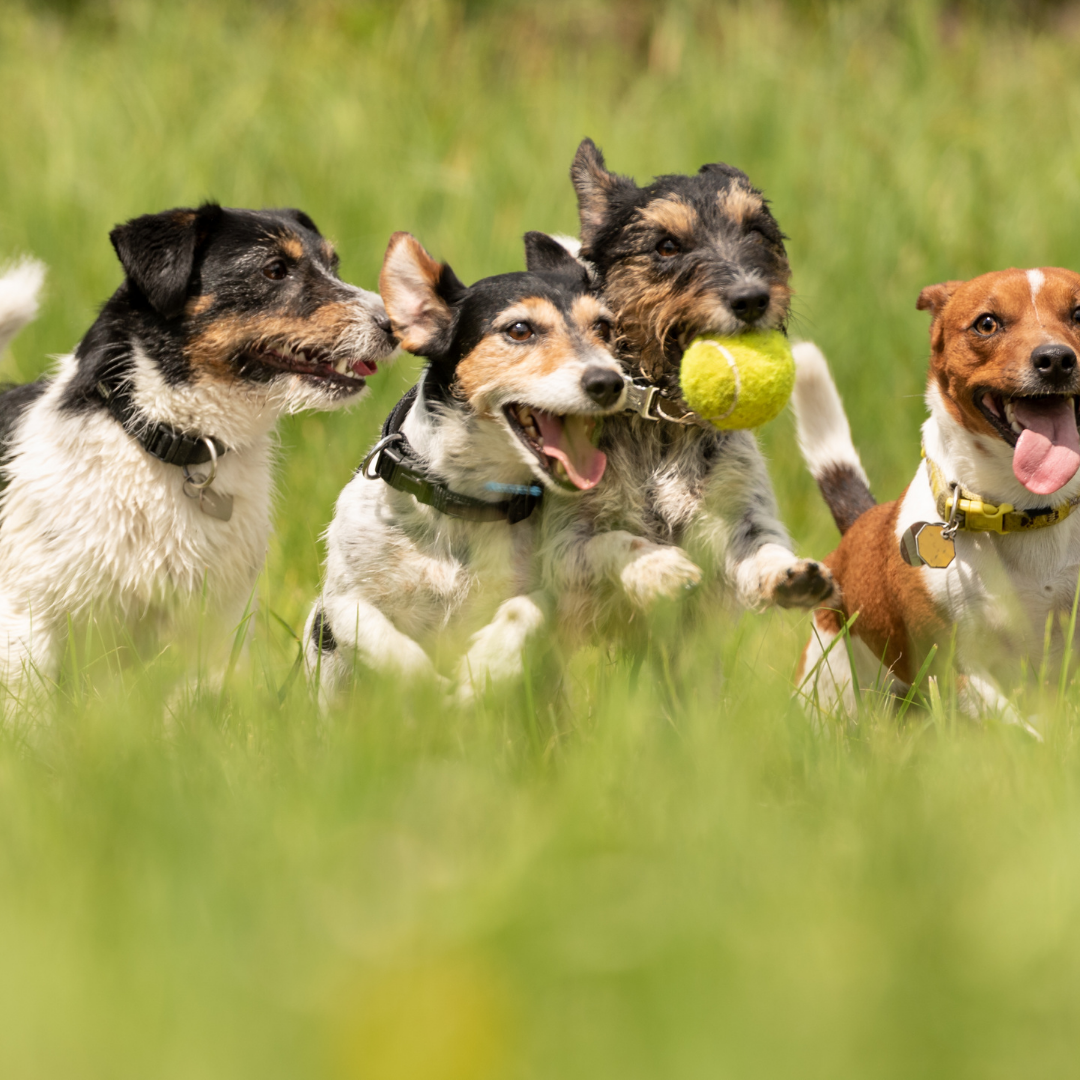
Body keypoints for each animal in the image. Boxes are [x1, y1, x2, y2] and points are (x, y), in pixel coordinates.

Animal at [0, 204, 393, 699]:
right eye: (274, 269)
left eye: (332, 263)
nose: (394, 326)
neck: (170, 447)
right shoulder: (25, 621)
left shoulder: (213, 630)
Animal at [302, 230, 699, 699]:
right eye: (520, 330)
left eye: (603, 327)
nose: (609, 382)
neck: (465, 502)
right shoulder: (339, 602)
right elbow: (373, 631)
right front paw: (425, 687)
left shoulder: (559, 583)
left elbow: (527, 609)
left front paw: (482, 667)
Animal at [531, 138, 833, 630]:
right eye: (667, 246)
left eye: (757, 232)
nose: (752, 298)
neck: (664, 422)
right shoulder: (564, 545)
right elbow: (616, 541)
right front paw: (658, 567)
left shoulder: (741, 513)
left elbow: (762, 547)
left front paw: (790, 574)